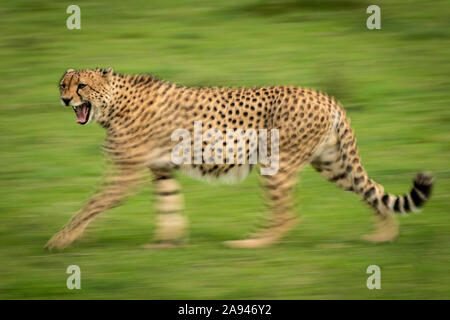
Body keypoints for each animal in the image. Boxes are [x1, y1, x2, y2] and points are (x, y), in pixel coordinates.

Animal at [44, 68, 432, 250]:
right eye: (63, 84)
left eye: (81, 86)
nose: (64, 100)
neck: (113, 103)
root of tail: (326, 95)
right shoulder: (161, 169)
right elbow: (169, 207)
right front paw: (166, 243)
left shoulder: (126, 174)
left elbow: (91, 205)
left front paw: (59, 240)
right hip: (331, 163)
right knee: (368, 188)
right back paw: (384, 233)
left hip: (277, 164)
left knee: (287, 214)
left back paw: (252, 243)